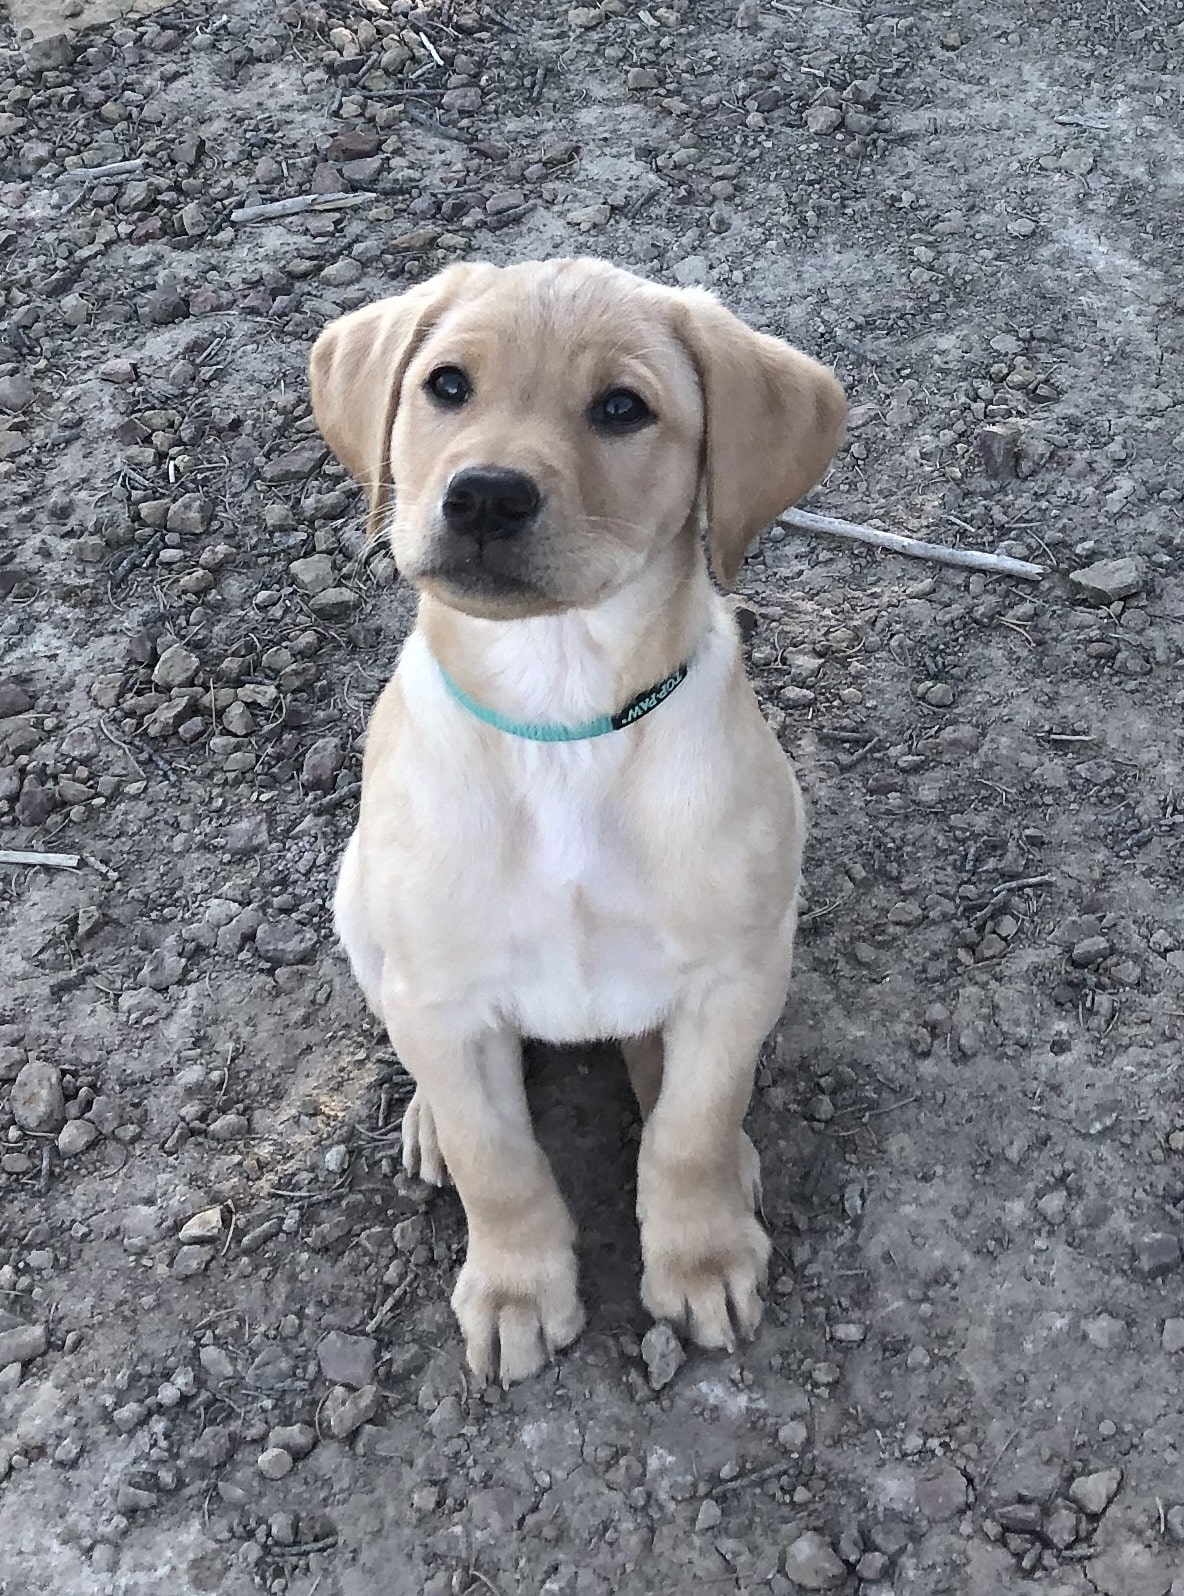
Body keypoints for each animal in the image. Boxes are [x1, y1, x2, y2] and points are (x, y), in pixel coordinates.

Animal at [311, 258, 848, 1385]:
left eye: (621, 408)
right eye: (446, 386)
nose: (484, 494)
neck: (558, 719)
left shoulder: (737, 972)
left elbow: (688, 1127)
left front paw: (699, 1257)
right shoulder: (442, 995)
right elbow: (497, 1157)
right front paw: (517, 1286)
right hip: (358, 907)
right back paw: (427, 1121)